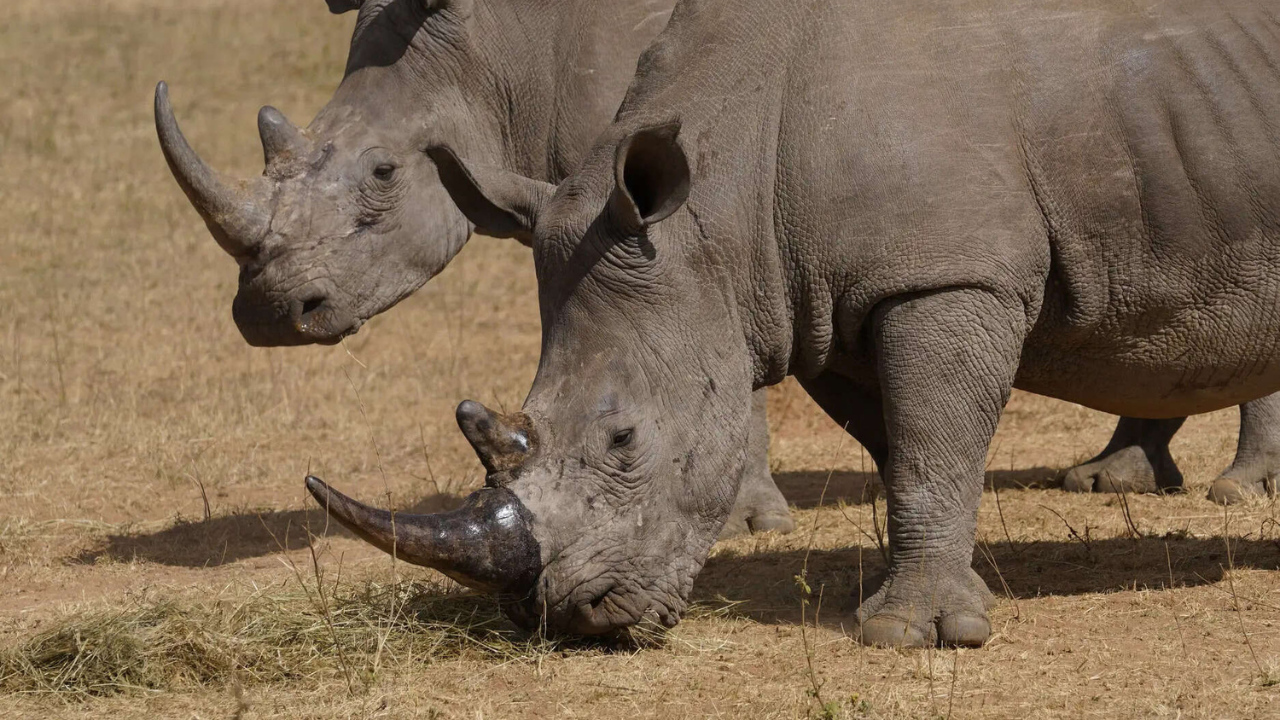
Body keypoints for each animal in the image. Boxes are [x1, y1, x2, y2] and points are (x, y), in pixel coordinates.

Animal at [307, 0, 1280, 646]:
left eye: (624, 441)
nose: (571, 619)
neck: (721, 200)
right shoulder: (827, 302)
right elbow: (905, 448)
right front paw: (927, 588)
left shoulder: (944, 276)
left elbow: (930, 446)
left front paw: (910, 633)